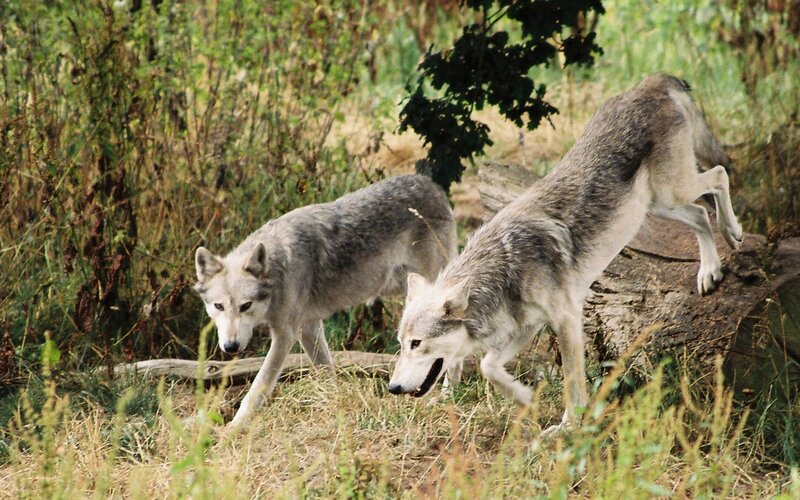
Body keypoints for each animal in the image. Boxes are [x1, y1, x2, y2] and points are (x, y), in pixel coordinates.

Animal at [194, 174, 457, 427]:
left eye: (246, 306)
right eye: (218, 306)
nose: (231, 347)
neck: (279, 267)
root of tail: (432, 185)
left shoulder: (285, 335)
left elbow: (259, 385)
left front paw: (234, 427)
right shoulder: (308, 328)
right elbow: (325, 371)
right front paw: (335, 406)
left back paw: (448, 396)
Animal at [387, 74, 743, 437]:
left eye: (416, 343)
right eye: (400, 344)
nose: (393, 388)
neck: (504, 267)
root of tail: (648, 83)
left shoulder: (566, 320)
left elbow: (572, 383)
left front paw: (570, 426)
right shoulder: (527, 326)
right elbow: (488, 366)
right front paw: (526, 398)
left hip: (673, 190)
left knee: (718, 176)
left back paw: (733, 232)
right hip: (658, 204)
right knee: (701, 213)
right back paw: (709, 271)